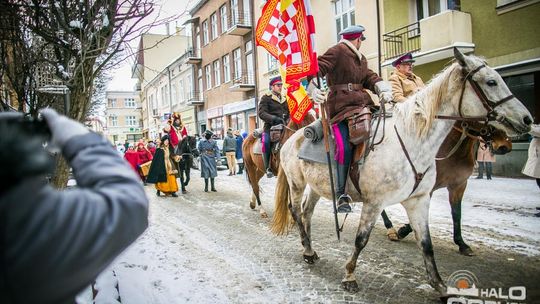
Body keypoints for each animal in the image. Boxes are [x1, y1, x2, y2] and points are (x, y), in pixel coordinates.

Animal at [382, 122, 512, 255]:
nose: (504, 146)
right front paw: (402, 231)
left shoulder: (459, 185)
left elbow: (456, 213)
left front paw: (461, 243)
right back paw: (390, 227)